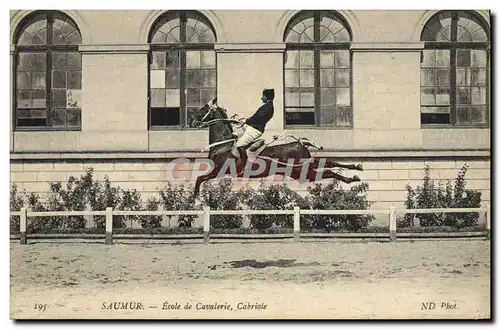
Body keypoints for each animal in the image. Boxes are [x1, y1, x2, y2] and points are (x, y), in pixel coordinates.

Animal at [188, 98, 364, 197]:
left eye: (203, 109)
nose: (191, 121)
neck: (224, 144)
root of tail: (299, 143)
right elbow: (200, 178)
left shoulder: (219, 170)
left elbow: (199, 178)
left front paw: (195, 199)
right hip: (304, 170)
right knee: (328, 166)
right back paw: (355, 172)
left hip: (304, 170)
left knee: (328, 168)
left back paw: (353, 173)